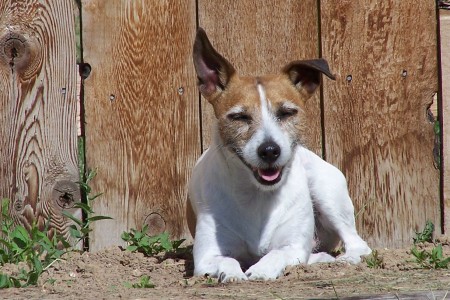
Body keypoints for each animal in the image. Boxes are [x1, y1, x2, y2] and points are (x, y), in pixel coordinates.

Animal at [185, 27, 370, 282]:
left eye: (287, 112)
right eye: (239, 117)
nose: (270, 150)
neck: (257, 196)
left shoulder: (292, 246)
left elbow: (277, 254)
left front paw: (261, 270)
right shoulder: (207, 256)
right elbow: (227, 260)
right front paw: (232, 273)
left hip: (327, 193)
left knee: (358, 243)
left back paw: (346, 260)